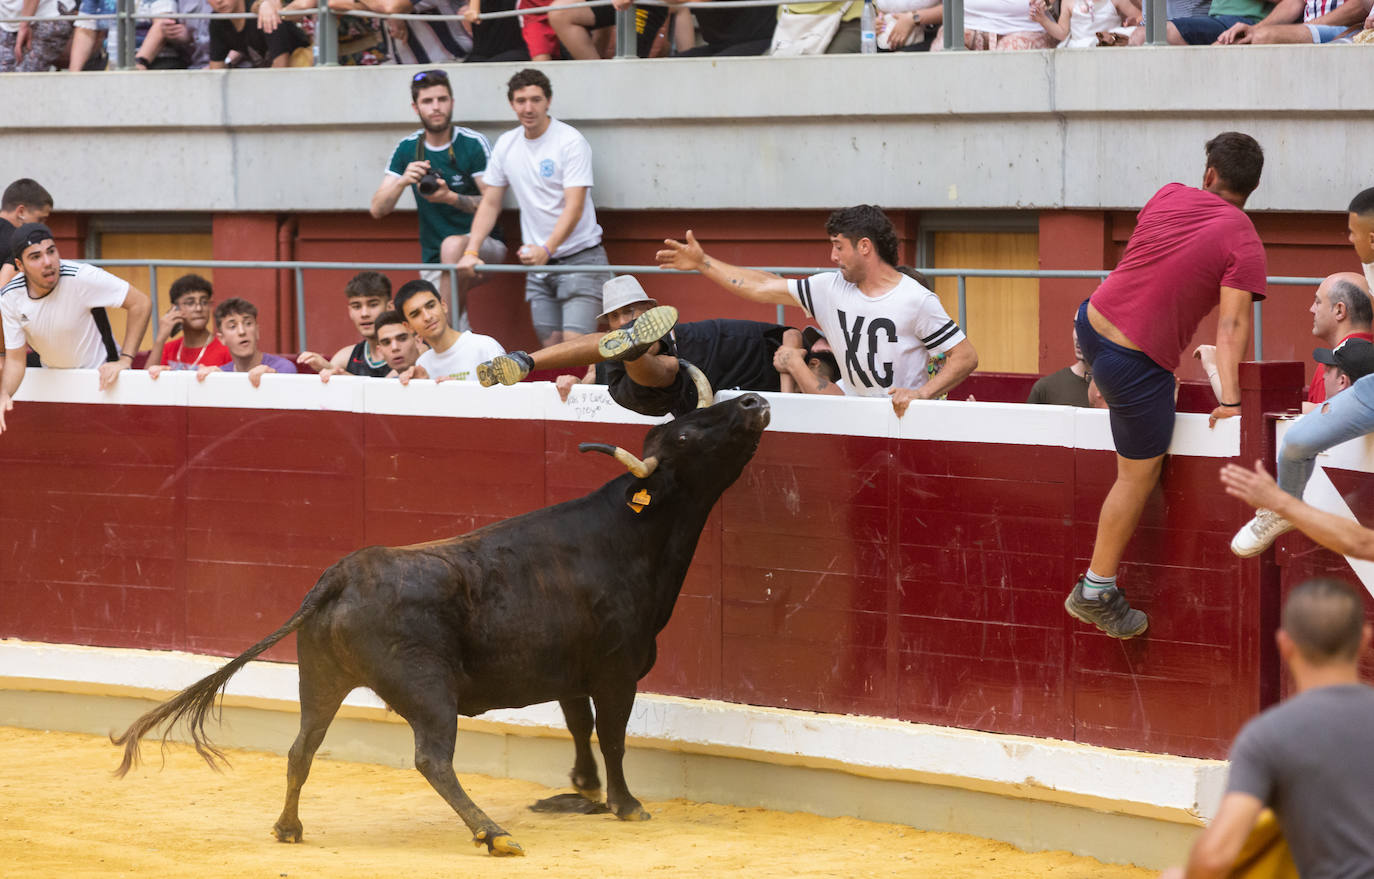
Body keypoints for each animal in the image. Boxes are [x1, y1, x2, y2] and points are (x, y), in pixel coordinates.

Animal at [115, 392, 774, 857]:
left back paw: (288, 827)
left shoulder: (570, 673)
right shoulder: (618, 670)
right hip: (429, 690)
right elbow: (612, 734)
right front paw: (626, 804)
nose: (752, 401)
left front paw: (582, 788)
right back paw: (493, 833)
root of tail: (343, 574)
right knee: (432, 759)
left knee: (303, 746)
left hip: (319, 679)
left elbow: (579, 726)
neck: (632, 531)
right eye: (687, 433)